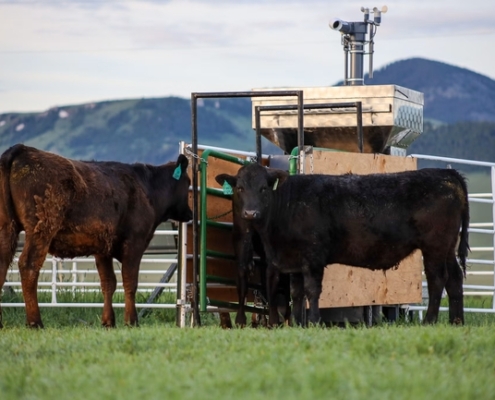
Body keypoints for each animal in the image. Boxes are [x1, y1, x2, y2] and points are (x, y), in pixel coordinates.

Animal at [0, 144, 192, 328]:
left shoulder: (103, 249)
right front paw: (131, 320)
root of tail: (22, 149)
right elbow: (130, 282)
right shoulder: (134, 243)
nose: (191, 214)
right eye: (189, 182)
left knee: (3, 264)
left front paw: (108, 321)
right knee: (29, 265)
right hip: (41, 229)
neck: (147, 189)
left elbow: (108, 283)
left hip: (7, 228)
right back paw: (35, 322)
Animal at [216, 164, 468, 326]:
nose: (250, 213)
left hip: (434, 246)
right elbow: (296, 293)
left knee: (438, 279)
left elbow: (312, 290)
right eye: (240, 188)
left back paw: (430, 321)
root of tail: (446, 173)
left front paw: (314, 321)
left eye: (263, 188)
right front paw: (297, 323)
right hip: (447, 247)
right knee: (455, 278)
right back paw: (456, 321)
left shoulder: (313, 257)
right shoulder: (294, 261)